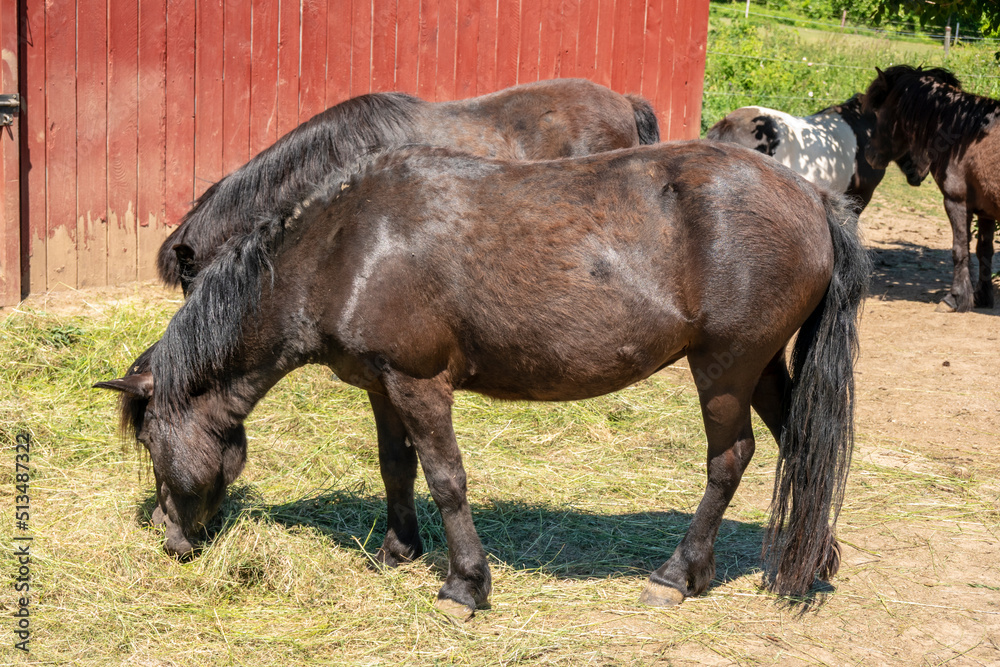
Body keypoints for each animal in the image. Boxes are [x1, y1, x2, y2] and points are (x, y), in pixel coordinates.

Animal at [96, 141, 870, 619]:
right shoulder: (382, 384)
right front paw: (397, 551)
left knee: (730, 458)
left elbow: (446, 478)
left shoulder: (420, 383)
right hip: (762, 367)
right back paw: (811, 554)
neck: (348, 246)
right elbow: (396, 465)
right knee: (800, 444)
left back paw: (678, 574)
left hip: (726, 367)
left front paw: (465, 584)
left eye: (152, 446)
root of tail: (813, 197)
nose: (171, 539)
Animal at [864, 65, 1000, 312]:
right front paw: (982, 297)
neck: (965, 134)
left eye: (878, 114)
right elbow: (984, 251)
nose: (869, 154)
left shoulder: (956, 203)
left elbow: (960, 250)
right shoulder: (986, 212)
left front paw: (954, 298)